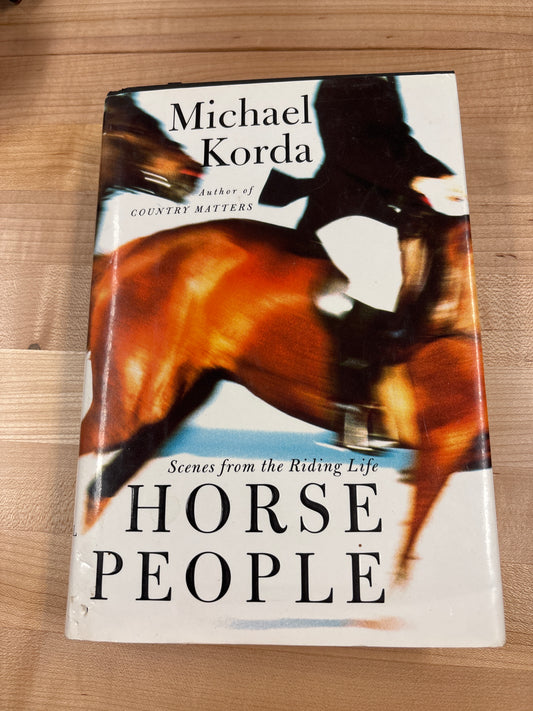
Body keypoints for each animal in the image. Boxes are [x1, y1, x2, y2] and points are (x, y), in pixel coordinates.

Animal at [78, 212, 490, 581]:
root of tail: (125, 254)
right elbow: (404, 562)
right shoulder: (444, 442)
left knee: (100, 490)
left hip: (168, 408)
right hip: (130, 407)